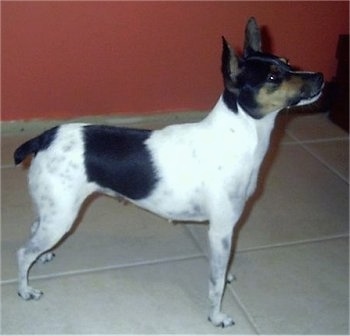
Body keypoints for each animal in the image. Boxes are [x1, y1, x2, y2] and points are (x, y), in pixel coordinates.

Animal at [15, 17, 324, 326]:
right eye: (273, 77)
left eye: (287, 62)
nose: (321, 76)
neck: (239, 134)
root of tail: (44, 138)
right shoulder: (221, 231)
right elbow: (215, 284)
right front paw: (216, 316)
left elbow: (221, 270)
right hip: (61, 217)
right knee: (22, 252)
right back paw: (25, 289)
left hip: (53, 210)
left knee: (33, 230)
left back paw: (42, 257)